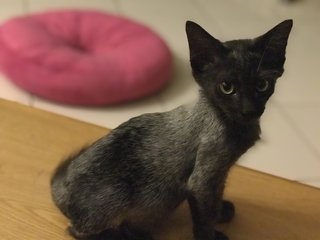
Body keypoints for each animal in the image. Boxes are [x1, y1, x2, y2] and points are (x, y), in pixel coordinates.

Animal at [50, 19, 292, 240]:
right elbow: (204, 217)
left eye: (262, 85)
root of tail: (62, 189)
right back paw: (126, 234)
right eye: (227, 87)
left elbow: (215, 199)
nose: (248, 110)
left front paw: (221, 211)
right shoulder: (202, 179)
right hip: (118, 194)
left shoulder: (219, 173)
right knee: (77, 231)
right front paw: (211, 235)